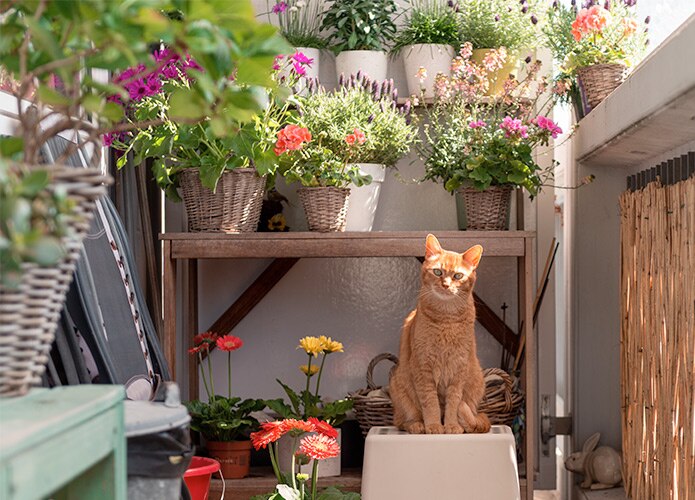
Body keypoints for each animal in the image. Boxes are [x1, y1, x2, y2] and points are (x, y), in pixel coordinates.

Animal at [392, 234, 490, 434]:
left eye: (458, 276)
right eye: (437, 272)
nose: (445, 285)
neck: (446, 319)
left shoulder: (459, 368)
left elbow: (453, 403)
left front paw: (451, 425)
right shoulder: (423, 368)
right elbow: (430, 404)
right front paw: (434, 426)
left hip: (477, 380)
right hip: (398, 387)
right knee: (400, 421)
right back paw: (418, 425)